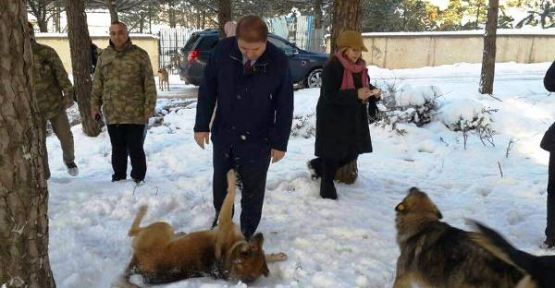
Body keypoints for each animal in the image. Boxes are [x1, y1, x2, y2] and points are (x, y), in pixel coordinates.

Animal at [122, 170, 286, 284]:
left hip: (164, 227)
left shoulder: (224, 220)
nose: (260, 235)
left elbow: (230, 192)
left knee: (132, 231)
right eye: (255, 248)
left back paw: (143, 209)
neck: (229, 256)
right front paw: (278, 256)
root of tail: (136, 264)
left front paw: (231, 176)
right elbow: (231, 193)